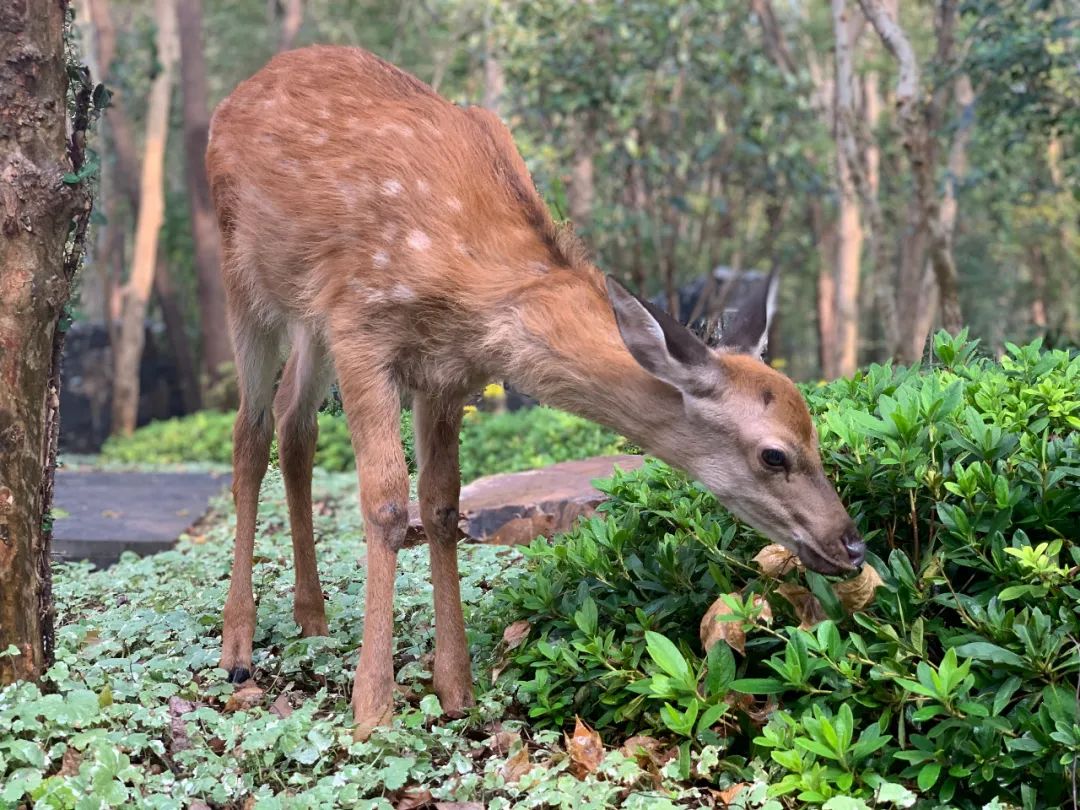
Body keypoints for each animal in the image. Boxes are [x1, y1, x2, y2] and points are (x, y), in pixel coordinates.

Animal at [206, 44, 864, 743]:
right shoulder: (362, 326)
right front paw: (372, 709)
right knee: (249, 430)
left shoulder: (446, 375)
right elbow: (385, 503)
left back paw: (312, 615)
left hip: (309, 318)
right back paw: (238, 649)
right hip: (245, 278)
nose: (852, 545)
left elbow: (442, 507)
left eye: (815, 433)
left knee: (293, 423)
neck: (474, 285)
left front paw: (456, 690)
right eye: (774, 454)